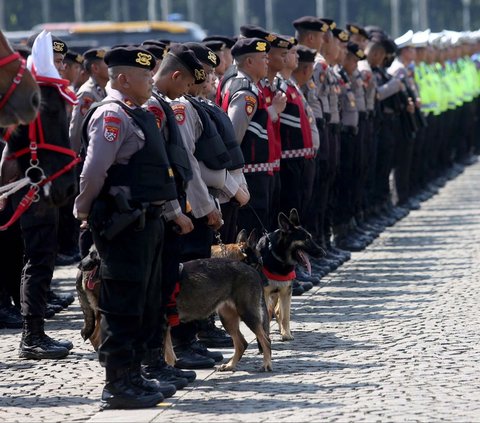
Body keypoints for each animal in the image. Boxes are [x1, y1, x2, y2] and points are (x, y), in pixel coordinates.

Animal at [256, 210, 324, 342]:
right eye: (306, 239)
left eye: (310, 237)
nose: (323, 253)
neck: (278, 258)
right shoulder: (265, 293)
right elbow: (266, 316)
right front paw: (265, 337)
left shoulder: (286, 292)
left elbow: (285, 316)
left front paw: (286, 334)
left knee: (277, 311)